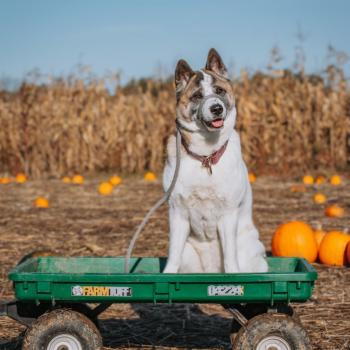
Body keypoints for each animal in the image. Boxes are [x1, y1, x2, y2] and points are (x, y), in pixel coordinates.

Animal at [162, 49, 268, 274]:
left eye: (219, 91)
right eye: (197, 96)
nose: (217, 108)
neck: (205, 157)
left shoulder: (228, 215)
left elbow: (230, 259)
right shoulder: (177, 213)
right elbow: (173, 257)